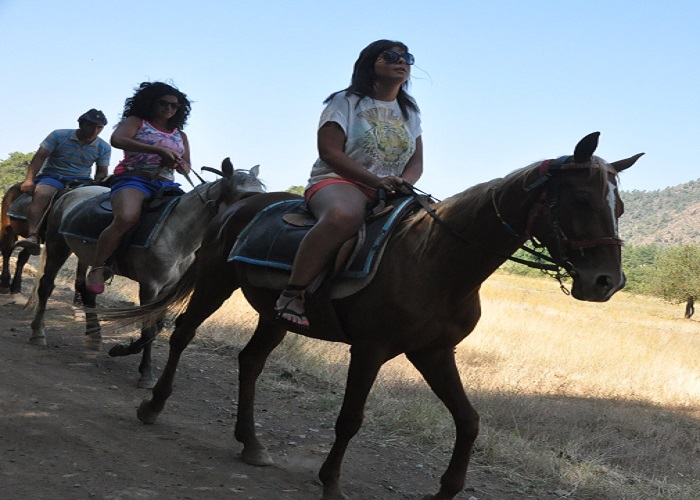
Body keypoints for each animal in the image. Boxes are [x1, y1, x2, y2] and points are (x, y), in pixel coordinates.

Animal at [28, 159, 266, 386]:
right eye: (244, 197)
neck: (176, 232)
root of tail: (70, 193)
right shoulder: (150, 285)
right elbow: (149, 327)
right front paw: (146, 373)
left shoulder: (167, 289)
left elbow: (157, 327)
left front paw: (122, 349)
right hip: (57, 245)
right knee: (47, 285)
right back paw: (38, 333)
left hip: (92, 260)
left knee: (88, 291)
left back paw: (93, 337)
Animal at [116, 134, 644, 500]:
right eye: (581, 199)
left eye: (618, 205)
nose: (606, 282)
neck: (436, 260)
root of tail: (241, 204)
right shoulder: (370, 350)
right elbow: (351, 417)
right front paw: (331, 481)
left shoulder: (433, 352)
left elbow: (469, 420)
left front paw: (447, 488)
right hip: (214, 284)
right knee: (182, 333)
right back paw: (153, 405)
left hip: (274, 314)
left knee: (250, 361)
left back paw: (251, 442)